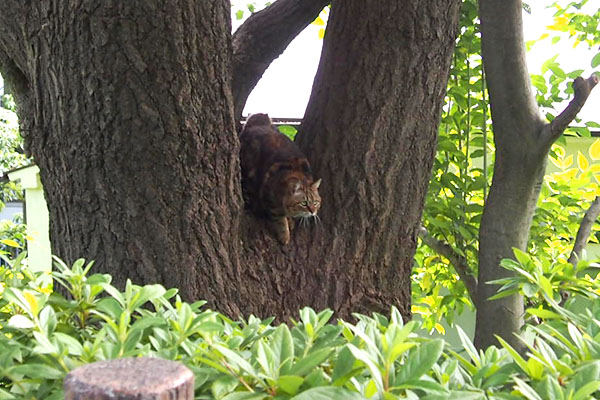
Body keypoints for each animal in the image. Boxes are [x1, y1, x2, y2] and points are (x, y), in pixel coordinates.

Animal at [241, 112, 322, 244]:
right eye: (304, 203)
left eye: (315, 202)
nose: (313, 211)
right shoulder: (270, 199)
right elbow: (280, 220)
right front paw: (285, 235)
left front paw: (290, 220)